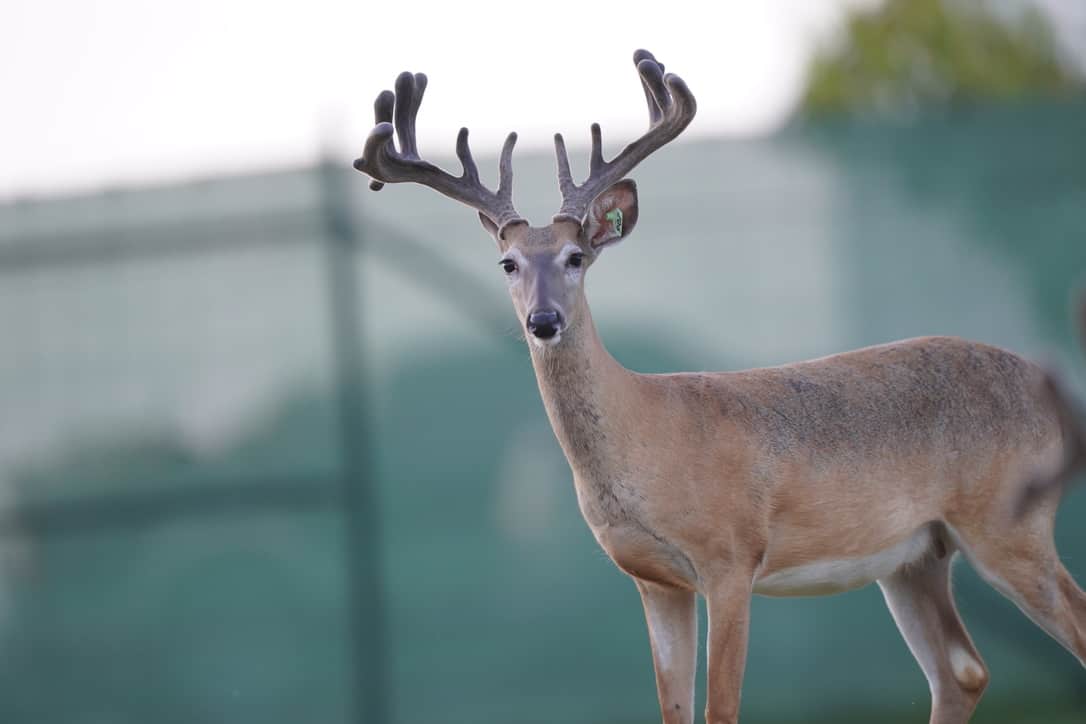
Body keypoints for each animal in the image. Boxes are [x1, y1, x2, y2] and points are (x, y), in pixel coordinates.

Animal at [353, 50, 1086, 724]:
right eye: (508, 262)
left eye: (576, 257)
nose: (544, 320)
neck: (644, 434)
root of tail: (1051, 390)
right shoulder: (654, 581)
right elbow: (674, 710)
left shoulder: (731, 558)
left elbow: (720, 709)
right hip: (914, 555)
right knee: (961, 671)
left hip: (1007, 520)